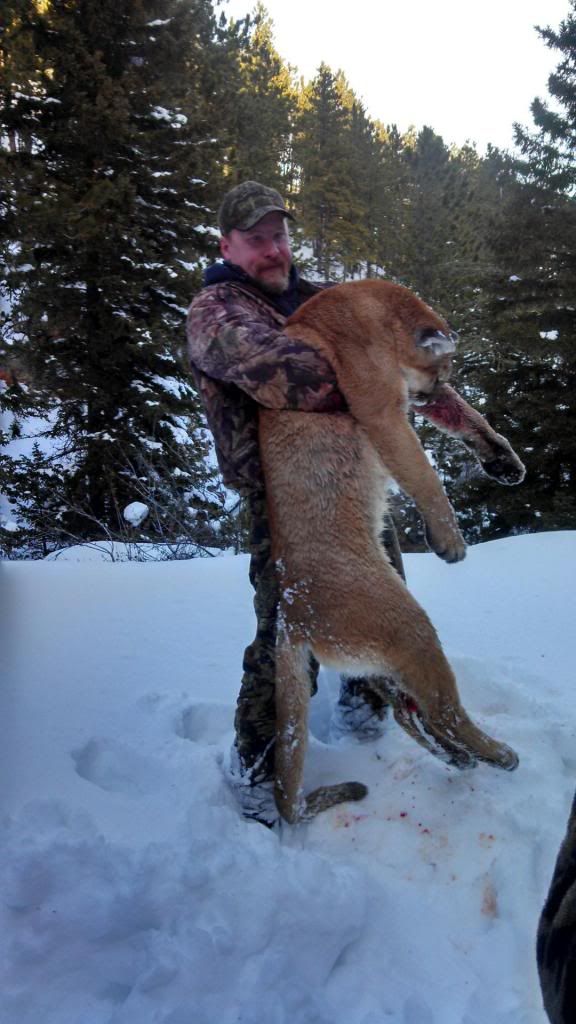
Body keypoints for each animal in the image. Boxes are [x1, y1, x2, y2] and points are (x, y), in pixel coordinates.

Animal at [258, 279, 524, 825]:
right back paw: (495, 754)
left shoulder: (403, 404)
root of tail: (293, 612)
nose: (429, 392)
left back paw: (460, 758)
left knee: (410, 711)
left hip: (383, 659)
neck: (368, 309)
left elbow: (470, 417)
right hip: (408, 627)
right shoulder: (382, 412)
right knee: (443, 709)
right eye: (441, 369)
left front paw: (503, 460)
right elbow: (425, 477)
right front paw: (448, 541)